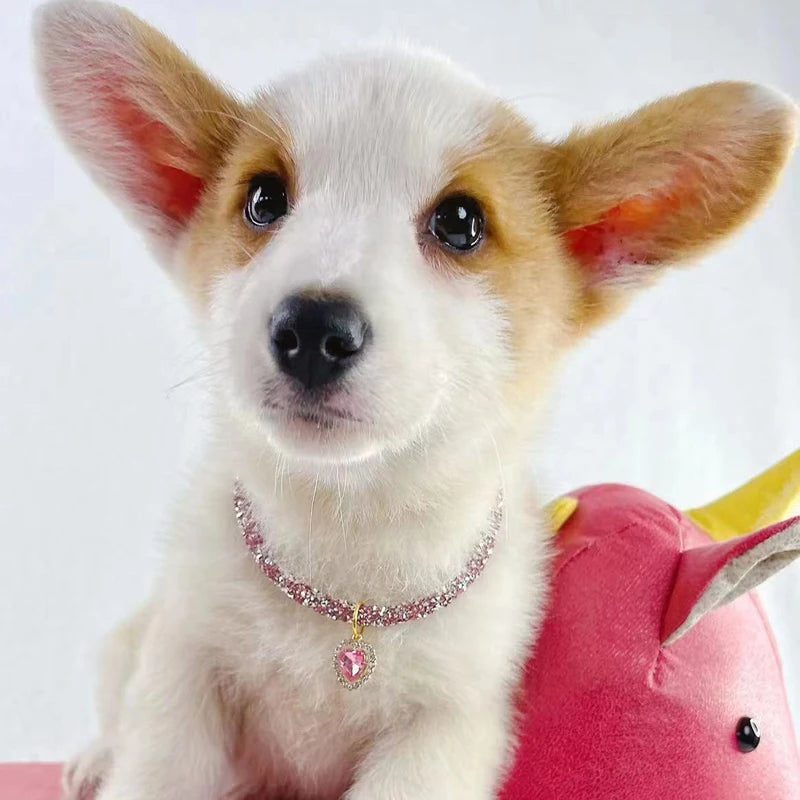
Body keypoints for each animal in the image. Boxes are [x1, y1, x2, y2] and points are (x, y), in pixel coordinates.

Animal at [32, 3, 800, 796]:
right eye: (263, 199)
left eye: (461, 222)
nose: (312, 331)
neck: (346, 555)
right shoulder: (184, 673)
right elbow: (155, 767)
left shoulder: (442, 733)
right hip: (129, 644)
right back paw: (91, 758)